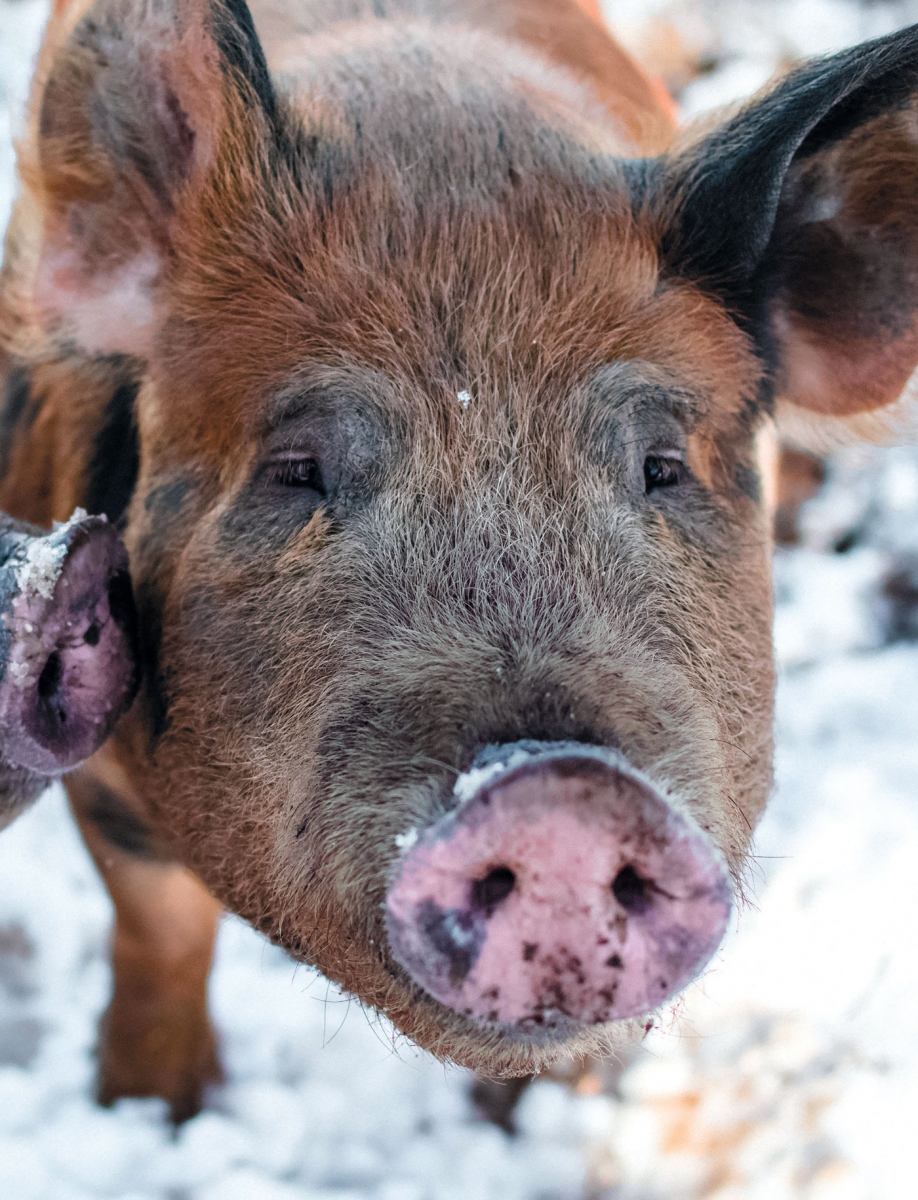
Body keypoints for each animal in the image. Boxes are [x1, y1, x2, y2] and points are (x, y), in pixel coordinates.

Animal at [1, 0, 917, 1123]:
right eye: (296, 470)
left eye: (660, 468)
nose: (562, 794)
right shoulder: (100, 776)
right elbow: (162, 924)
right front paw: (152, 1111)